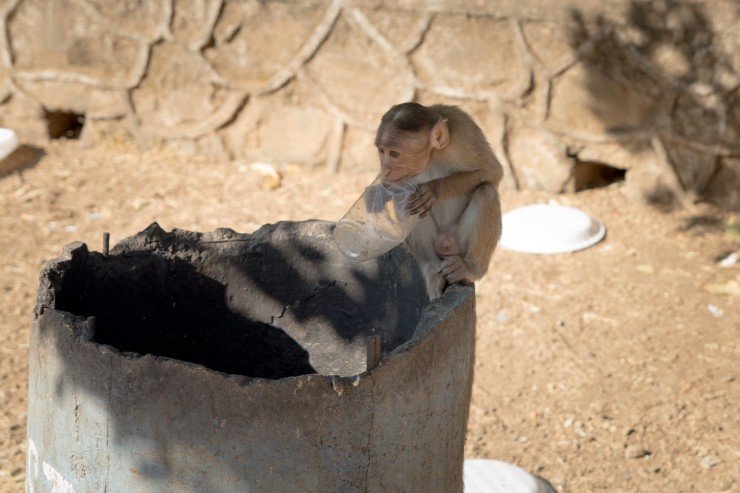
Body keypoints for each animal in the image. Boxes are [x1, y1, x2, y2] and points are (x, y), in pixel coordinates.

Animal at [376, 102, 502, 298]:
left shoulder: (464, 130)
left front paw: (434, 190)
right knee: (406, 201)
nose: (386, 170)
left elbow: (492, 171)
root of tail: (445, 244)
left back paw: (470, 268)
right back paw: (433, 271)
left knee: (486, 191)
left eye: (395, 154)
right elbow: (397, 191)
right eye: (382, 151)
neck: (432, 155)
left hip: (458, 241)